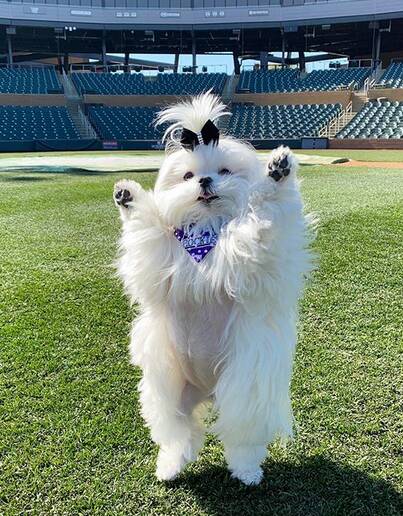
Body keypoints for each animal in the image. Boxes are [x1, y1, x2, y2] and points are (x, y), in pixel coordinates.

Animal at [113, 93, 316, 488]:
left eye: (224, 171)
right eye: (188, 176)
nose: (205, 181)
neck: (206, 230)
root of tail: (208, 390)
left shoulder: (260, 257)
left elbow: (266, 212)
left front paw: (278, 172)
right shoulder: (158, 260)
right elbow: (148, 227)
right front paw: (128, 197)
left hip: (243, 391)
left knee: (241, 439)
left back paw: (247, 472)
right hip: (167, 393)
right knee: (181, 435)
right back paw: (171, 467)